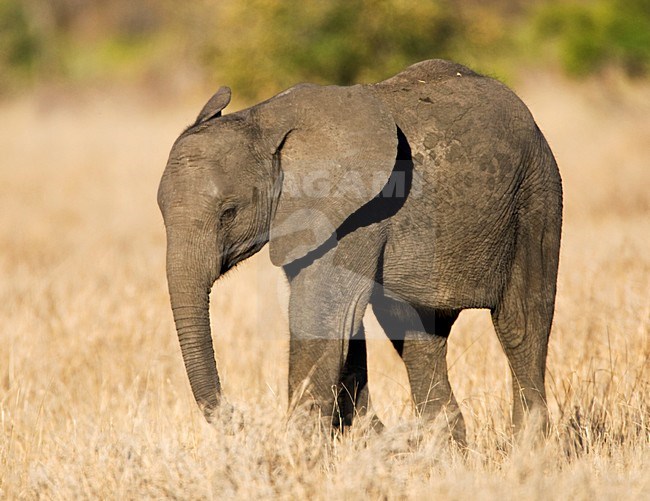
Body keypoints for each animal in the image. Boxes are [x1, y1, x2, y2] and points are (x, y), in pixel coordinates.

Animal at [154, 59, 560, 442]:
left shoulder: (360, 212)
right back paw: (444, 448)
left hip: (536, 196)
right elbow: (344, 326)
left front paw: (298, 452)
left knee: (521, 325)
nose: (238, 415)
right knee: (417, 337)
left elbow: (325, 314)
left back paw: (528, 449)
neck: (263, 122)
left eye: (229, 212)